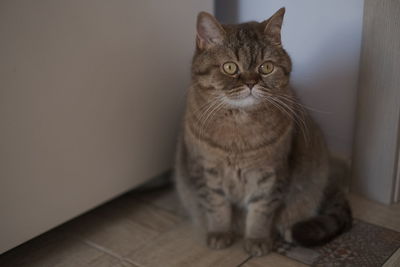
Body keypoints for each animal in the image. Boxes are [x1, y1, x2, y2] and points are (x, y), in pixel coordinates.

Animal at [173, 7, 352, 256]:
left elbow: (261, 210)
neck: (239, 130)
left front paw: (257, 240)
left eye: (266, 67)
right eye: (230, 67)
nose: (251, 83)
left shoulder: (272, 173)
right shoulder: (205, 169)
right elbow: (216, 206)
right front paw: (220, 233)